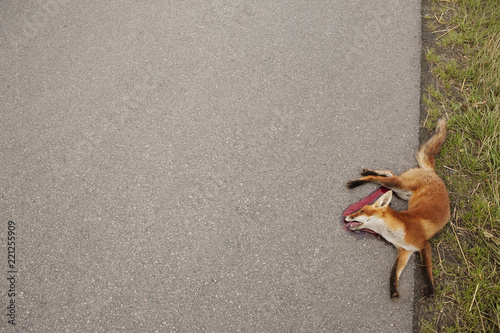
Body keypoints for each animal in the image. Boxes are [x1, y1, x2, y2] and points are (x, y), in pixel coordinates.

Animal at [346, 117, 452, 298]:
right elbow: (394, 272)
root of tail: (433, 173)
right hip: (400, 190)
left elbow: (425, 270)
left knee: (384, 176)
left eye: (361, 210)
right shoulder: (404, 251)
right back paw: (363, 175)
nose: (346, 217)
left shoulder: (418, 246)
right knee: (387, 174)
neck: (396, 232)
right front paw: (394, 290)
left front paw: (430, 289)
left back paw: (358, 180)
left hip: (399, 188)